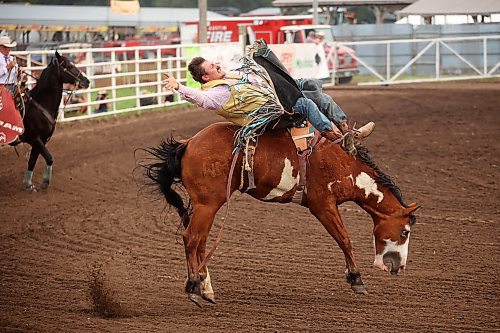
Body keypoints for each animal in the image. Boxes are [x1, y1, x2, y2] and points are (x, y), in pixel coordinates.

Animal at [17, 49, 90, 189]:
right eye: (68, 65)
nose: (86, 81)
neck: (40, 103)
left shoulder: (41, 140)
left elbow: (32, 161)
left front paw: (28, 184)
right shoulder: (35, 138)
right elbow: (49, 158)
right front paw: (45, 182)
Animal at [144, 121, 418, 304]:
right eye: (405, 232)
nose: (399, 267)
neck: (344, 162)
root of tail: (188, 143)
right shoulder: (323, 205)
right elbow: (344, 239)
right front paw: (356, 279)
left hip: (207, 205)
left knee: (200, 242)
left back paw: (206, 288)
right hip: (207, 204)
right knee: (191, 239)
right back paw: (193, 286)